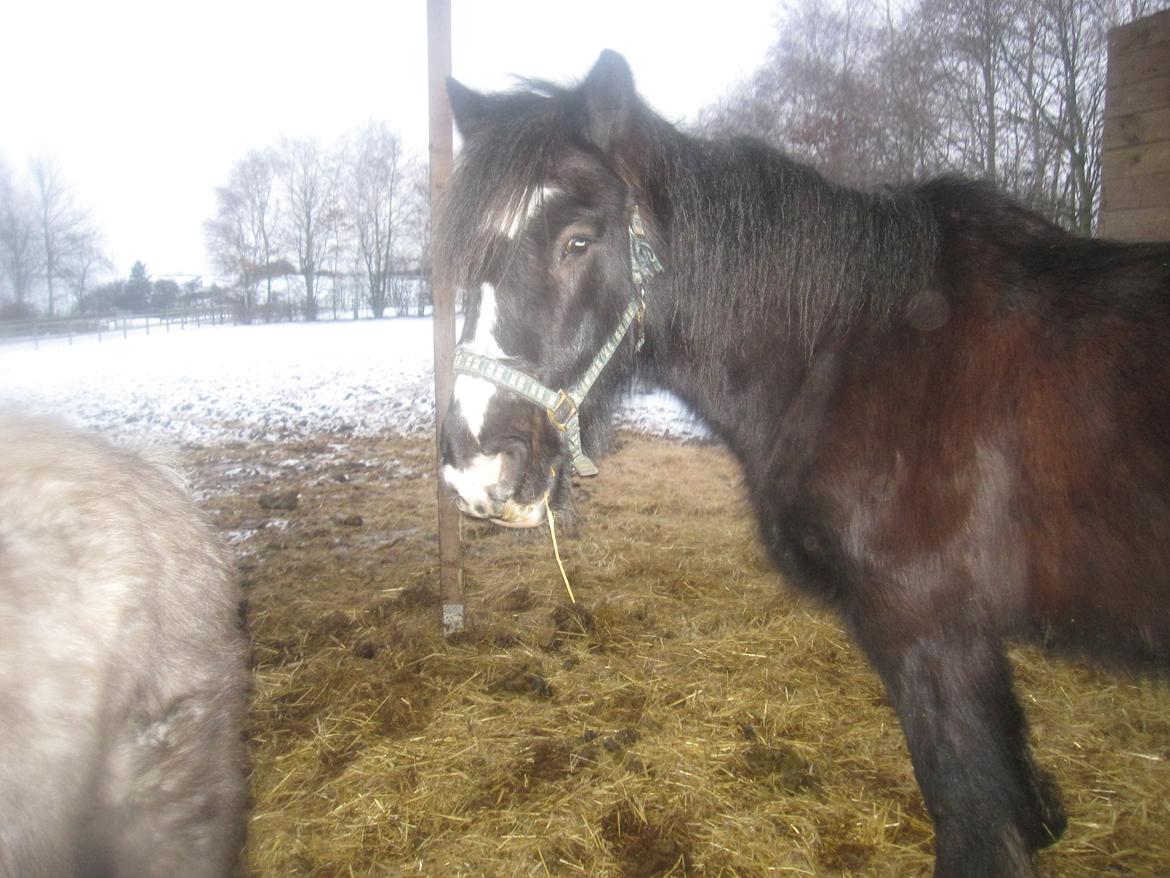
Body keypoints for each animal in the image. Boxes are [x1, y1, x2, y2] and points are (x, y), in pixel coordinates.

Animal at [437, 49, 1170, 878]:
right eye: (468, 255)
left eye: (579, 241)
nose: (476, 470)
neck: (855, 345)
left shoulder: (933, 630)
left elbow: (975, 816)